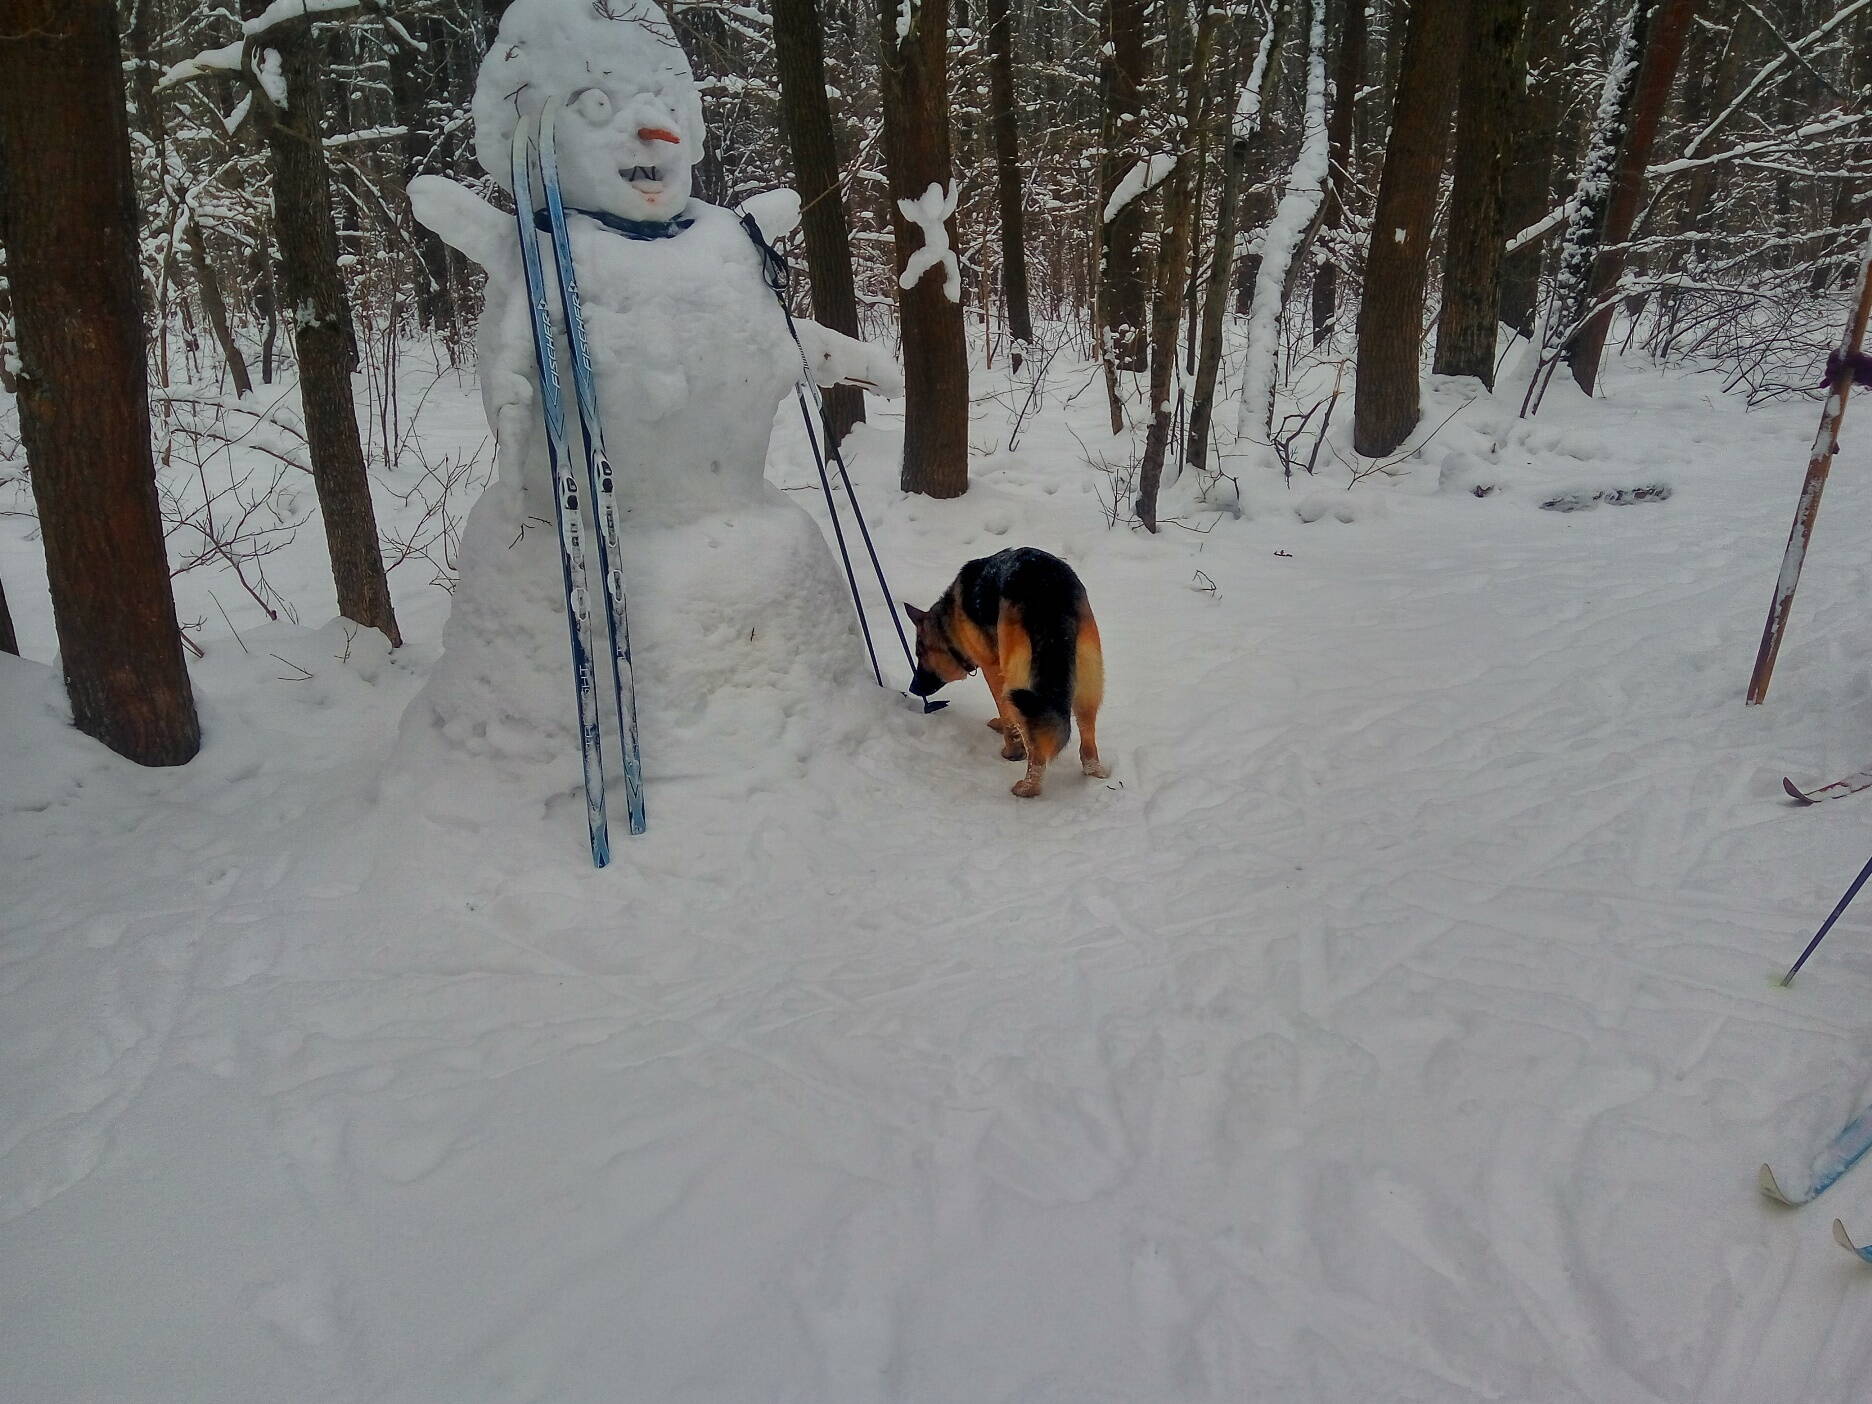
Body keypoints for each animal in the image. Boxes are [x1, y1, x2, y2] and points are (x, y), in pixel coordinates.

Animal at [904, 547, 1110, 798]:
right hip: (1088, 679)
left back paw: (1028, 787)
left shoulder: (992, 669)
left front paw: (1012, 751)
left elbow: (1005, 714)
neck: (950, 622)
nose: (912, 688)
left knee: (1035, 743)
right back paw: (1094, 772)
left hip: (1018, 682)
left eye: (919, 653)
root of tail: (1049, 589)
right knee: (1086, 735)